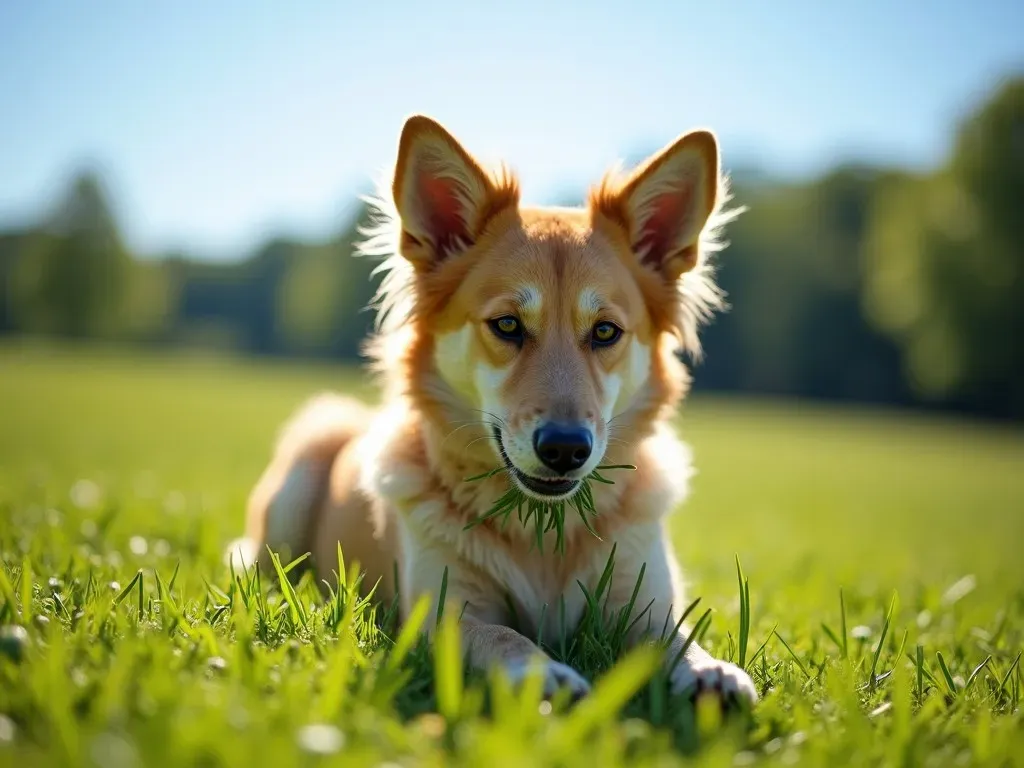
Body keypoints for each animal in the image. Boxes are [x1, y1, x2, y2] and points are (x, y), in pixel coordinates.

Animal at [230, 114, 761, 708]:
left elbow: (677, 639)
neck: (543, 530)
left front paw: (710, 670)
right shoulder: (443, 612)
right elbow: (502, 635)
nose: (565, 449)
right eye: (507, 325)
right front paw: (540, 673)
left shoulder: (643, 599)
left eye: (605, 331)